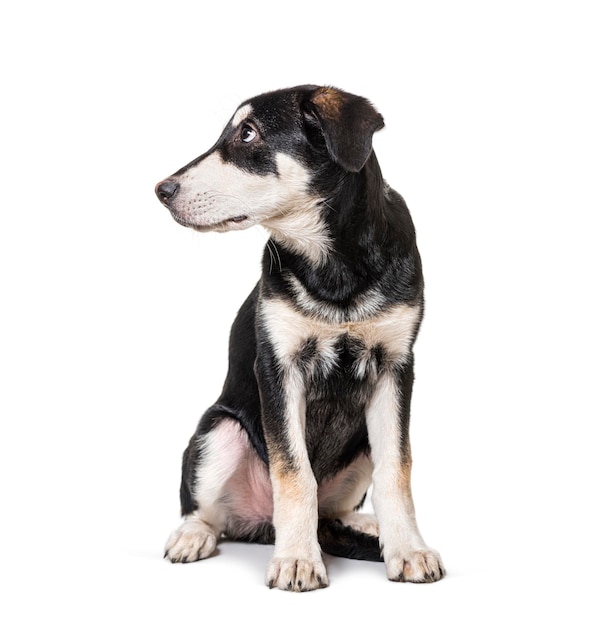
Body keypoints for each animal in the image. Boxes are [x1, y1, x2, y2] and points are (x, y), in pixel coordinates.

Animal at [155, 85, 442, 588]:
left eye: (248, 134)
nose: (161, 190)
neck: (333, 265)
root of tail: (259, 524)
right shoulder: (278, 367)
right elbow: (293, 473)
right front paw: (297, 560)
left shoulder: (396, 367)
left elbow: (397, 470)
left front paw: (408, 549)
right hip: (219, 430)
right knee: (207, 512)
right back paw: (194, 535)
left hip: (360, 444)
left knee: (335, 510)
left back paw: (367, 526)